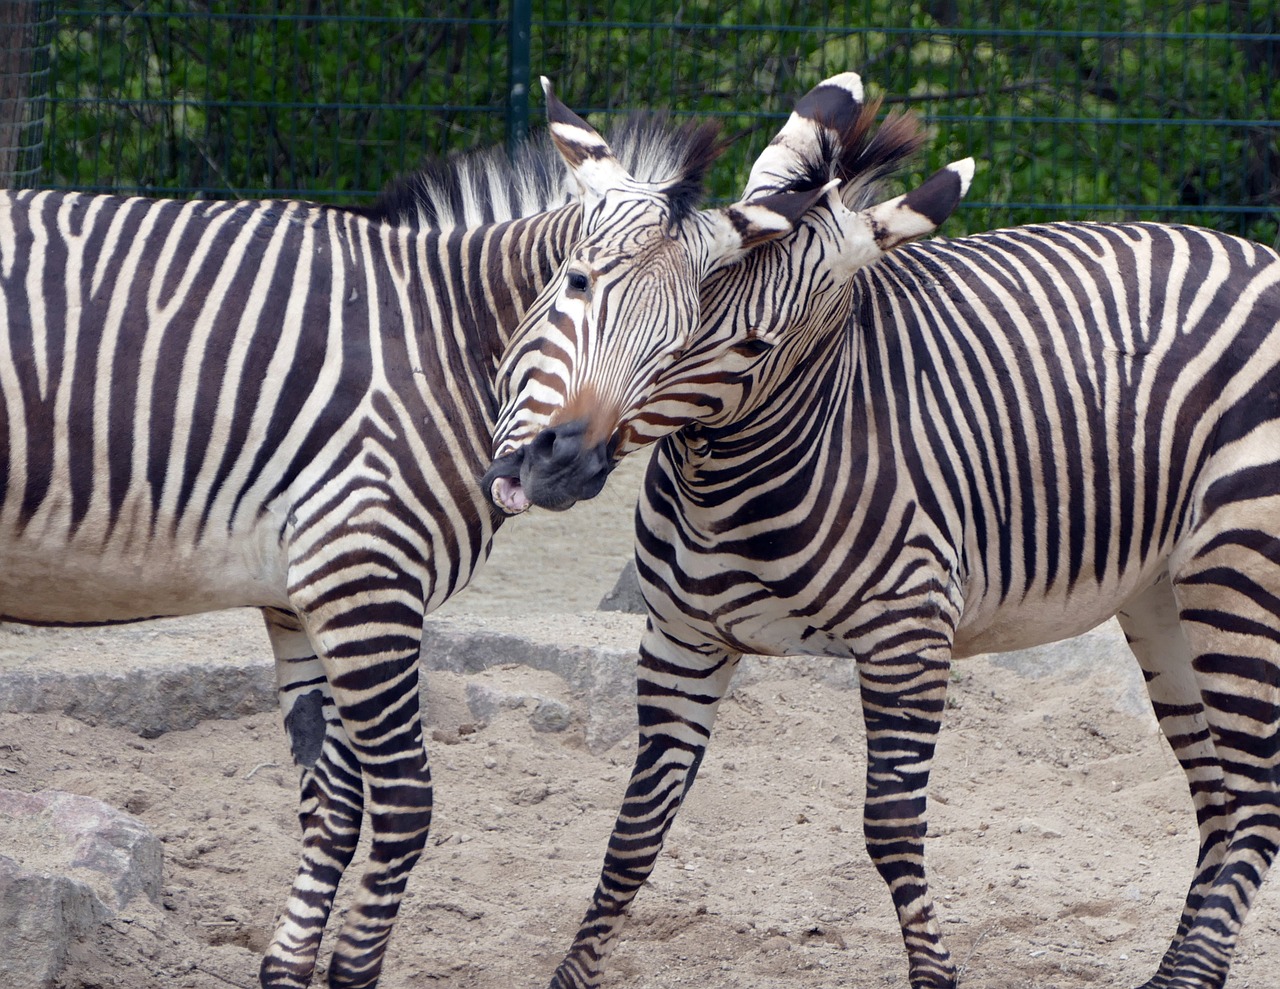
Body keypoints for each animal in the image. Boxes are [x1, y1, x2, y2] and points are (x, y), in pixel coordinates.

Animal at [2, 85, 819, 987]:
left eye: (680, 345)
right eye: (575, 282)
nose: (563, 462)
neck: (445, 340)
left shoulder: (305, 595)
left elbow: (334, 803)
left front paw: (287, 968)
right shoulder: (363, 573)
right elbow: (403, 805)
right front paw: (351, 969)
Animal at [486, 71, 1280, 987]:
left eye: (748, 342)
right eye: (574, 282)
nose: (558, 462)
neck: (725, 486)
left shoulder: (910, 637)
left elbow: (892, 829)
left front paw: (936, 974)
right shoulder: (680, 638)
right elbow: (632, 832)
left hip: (1239, 572)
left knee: (1258, 799)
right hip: (1164, 595)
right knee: (1220, 796)